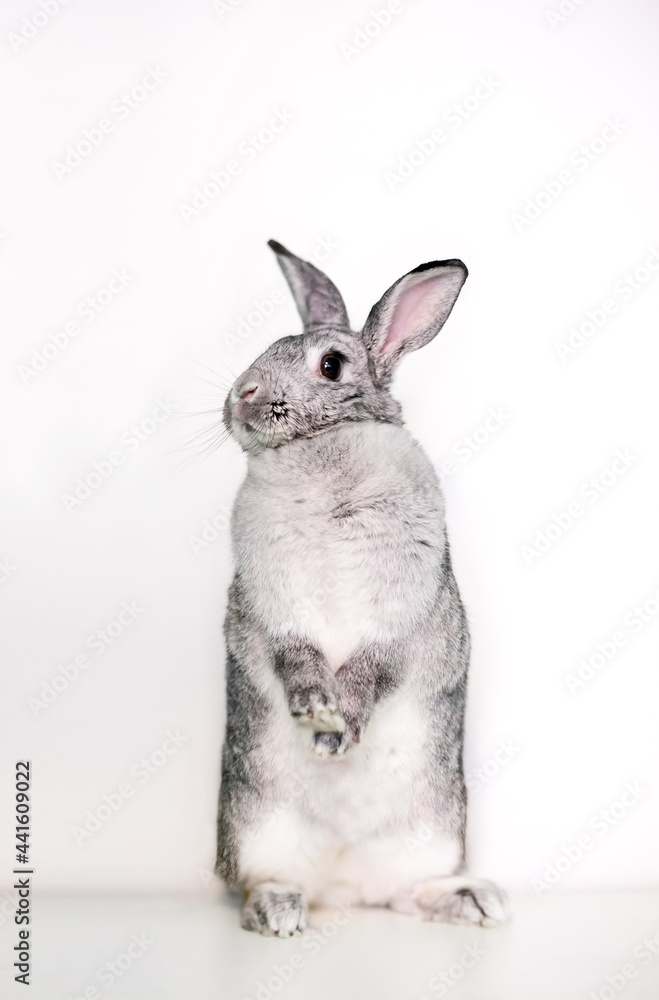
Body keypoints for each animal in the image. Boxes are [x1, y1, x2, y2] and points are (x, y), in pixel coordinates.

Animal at [215, 240, 507, 936]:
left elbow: (371, 668)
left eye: (331, 365)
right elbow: (296, 657)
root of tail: (344, 886)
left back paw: (475, 901)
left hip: (433, 834)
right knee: (260, 882)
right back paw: (279, 911)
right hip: (255, 827)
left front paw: (337, 726)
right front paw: (316, 714)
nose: (242, 394)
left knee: (408, 893)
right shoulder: (275, 606)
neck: (321, 448)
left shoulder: (401, 611)